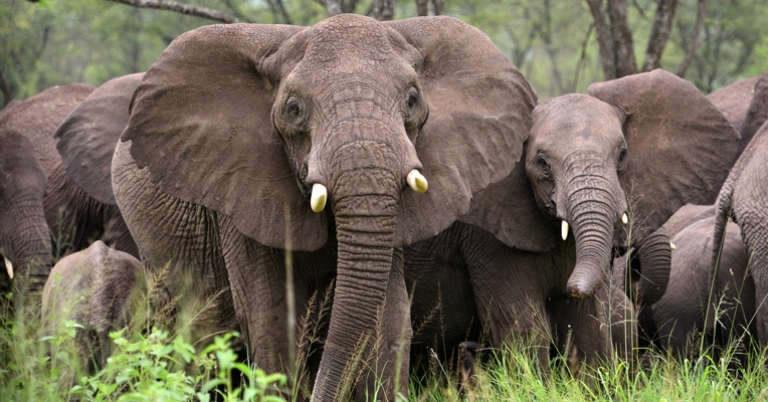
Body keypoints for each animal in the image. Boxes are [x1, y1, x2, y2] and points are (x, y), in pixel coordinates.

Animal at [111, 15, 535, 401]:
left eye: (413, 99)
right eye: (294, 108)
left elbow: (387, 316)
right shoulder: (236, 191)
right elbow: (273, 319)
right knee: (198, 333)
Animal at [407, 69, 739, 375]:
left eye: (622, 155)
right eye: (542, 163)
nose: (629, 267)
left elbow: (585, 327)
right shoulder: (485, 238)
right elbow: (524, 328)